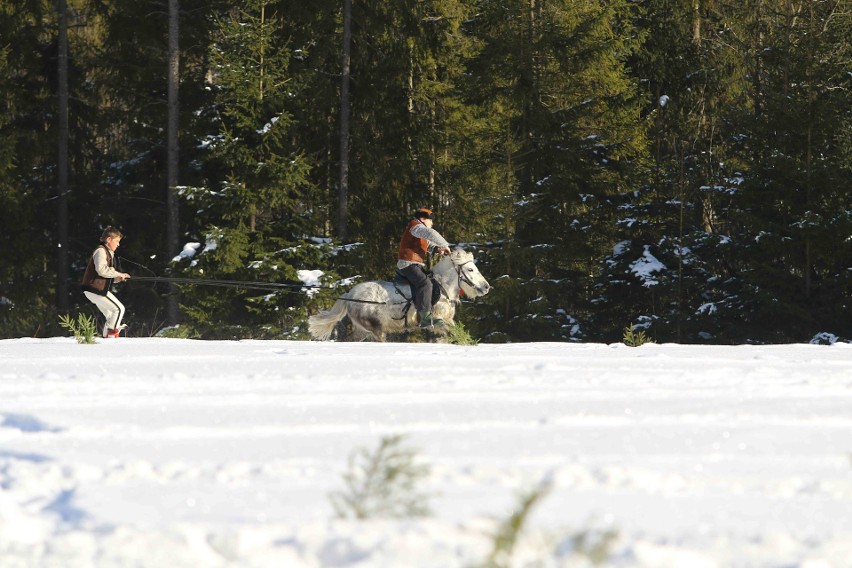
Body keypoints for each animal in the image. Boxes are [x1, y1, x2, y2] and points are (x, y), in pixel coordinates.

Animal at [310, 250, 490, 342]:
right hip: (375, 328)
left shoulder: (447, 320)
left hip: (362, 330)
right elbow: (452, 333)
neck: (442, 289)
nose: (486, 287)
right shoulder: (438, 321)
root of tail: (351, 293)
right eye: (470, 269)